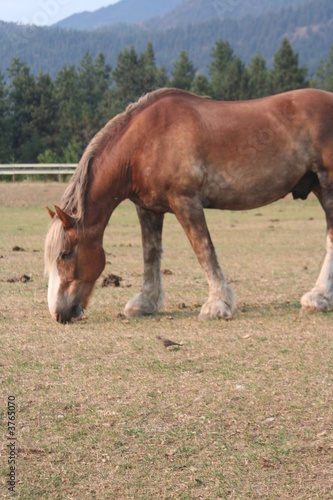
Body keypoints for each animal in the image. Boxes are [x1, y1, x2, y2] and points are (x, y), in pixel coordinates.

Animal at [44, 87, 333, 324]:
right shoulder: (149, 209)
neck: (144, 142)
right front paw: (145, 302)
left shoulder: (186, 201)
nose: (59, 313)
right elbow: (150, 253)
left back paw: (318, 298)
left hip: (327, 183)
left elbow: (203, 249)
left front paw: (217, 305)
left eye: (65, 254)